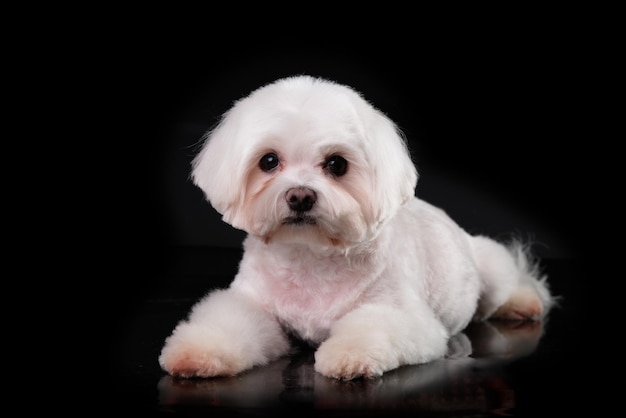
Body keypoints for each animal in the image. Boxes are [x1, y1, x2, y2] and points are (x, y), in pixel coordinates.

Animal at [158, 73, 552, 380]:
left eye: (337, 164)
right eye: (268, 161)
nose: (300, 196)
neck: (310, 257)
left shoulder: (400, 314)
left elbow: (371, 329)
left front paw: (348, 356)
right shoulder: (252, 303)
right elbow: (231, 323)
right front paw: (195, 353)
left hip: (490, 267)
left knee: (509, 283)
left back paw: (524, 302)